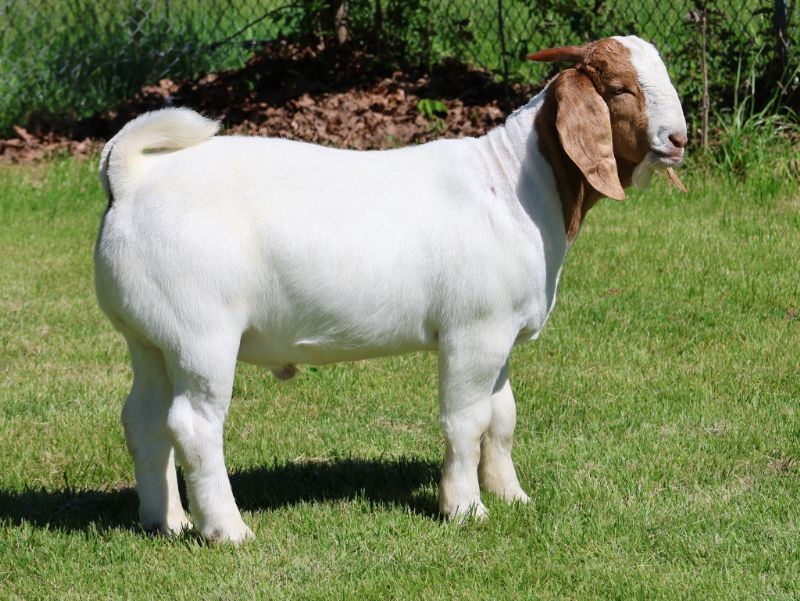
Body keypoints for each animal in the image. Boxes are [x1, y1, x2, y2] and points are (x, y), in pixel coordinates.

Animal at [94, 35, 687, 544]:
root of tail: (132, 180)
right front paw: (465, 508)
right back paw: (227, 530)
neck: (515, 184)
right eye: (621, 89)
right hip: (201, 333)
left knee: (143, 418)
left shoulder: (501, 334)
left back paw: (166, 521)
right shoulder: (474, 332)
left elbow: (501, 418)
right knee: (194, 424)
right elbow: (466, 421)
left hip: (150, 337)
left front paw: (512, 496)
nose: (679, 139)